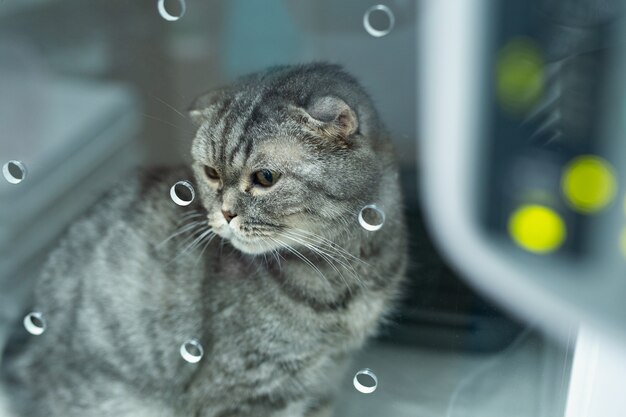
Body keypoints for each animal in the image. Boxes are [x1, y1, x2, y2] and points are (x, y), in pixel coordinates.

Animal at [0, 62, 408, 416]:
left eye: (265, 178)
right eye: (211, 173)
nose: (225, 214)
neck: (350, 267)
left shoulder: (321, 384)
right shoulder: (244, 391)